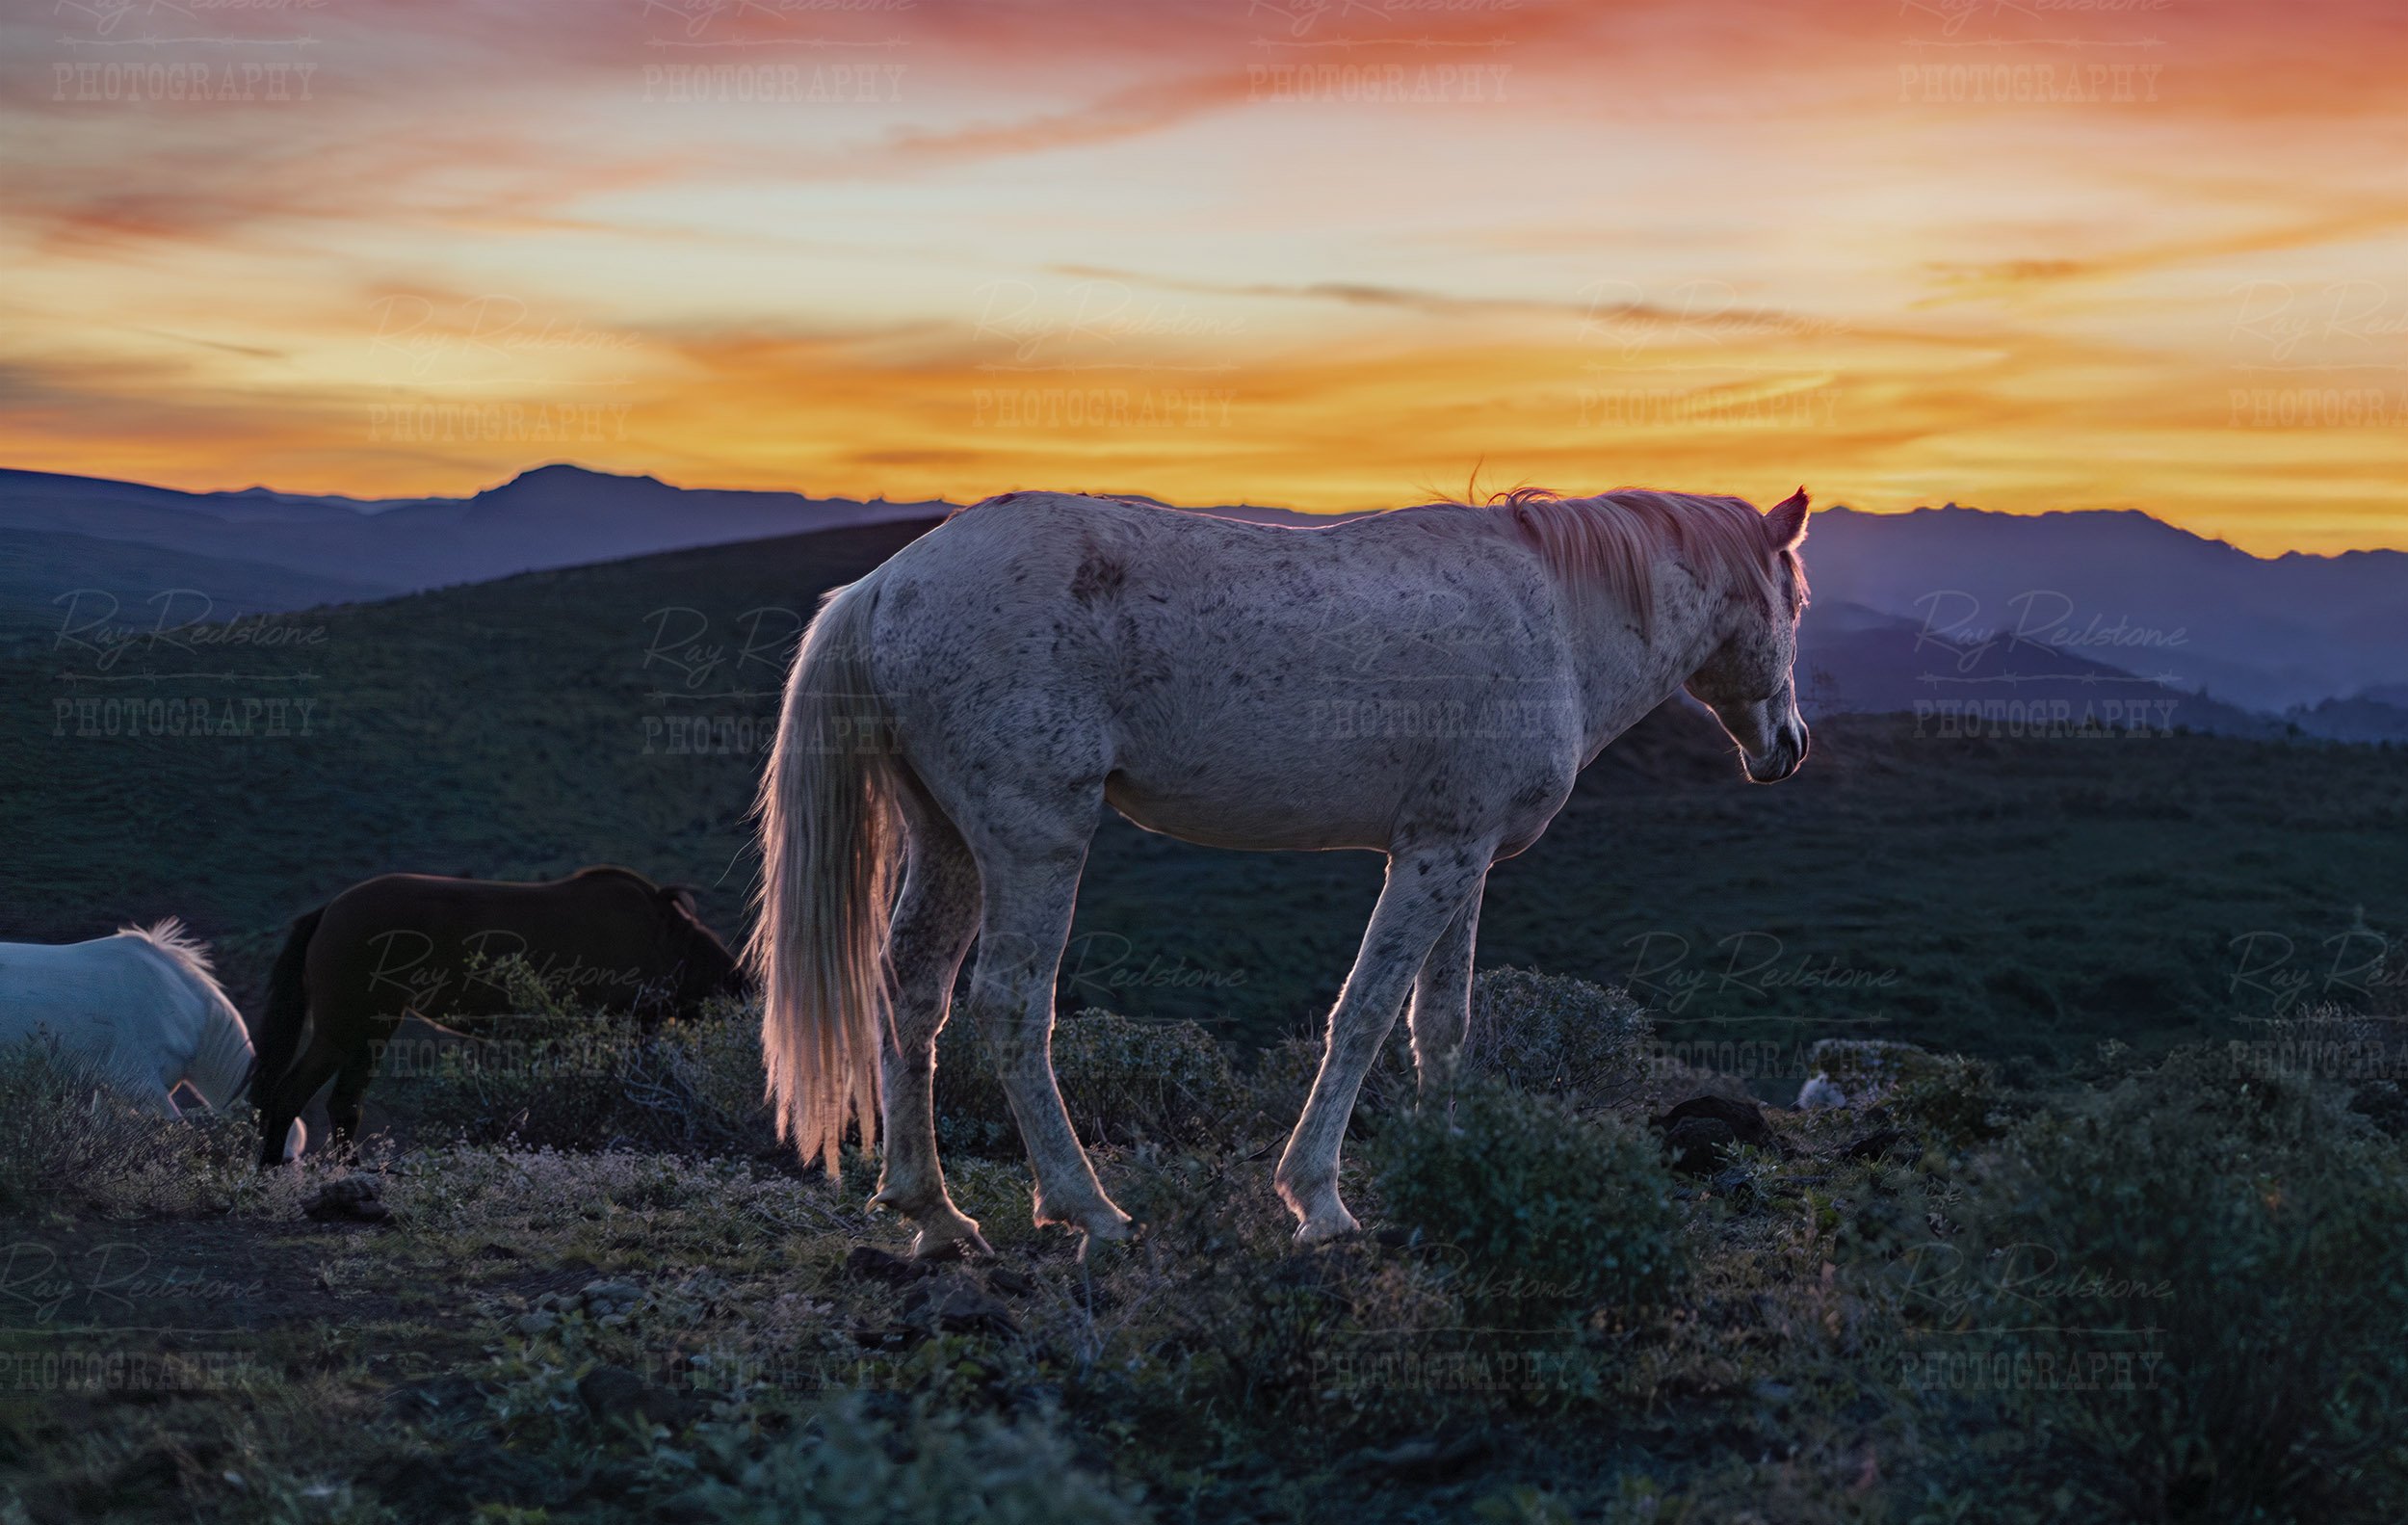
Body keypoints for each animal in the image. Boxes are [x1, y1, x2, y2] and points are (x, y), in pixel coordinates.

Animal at [249, 866, 747, 1166]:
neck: (663, 939)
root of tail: (328, 912)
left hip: (361, 1034)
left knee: (335, 1103)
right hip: (349, 1031)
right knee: (299, 1096)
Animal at [752, 483, 1812, 1254]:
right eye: (1796, 602)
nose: (1790, 746)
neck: (1552, 614)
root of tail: (883, 588)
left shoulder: (1465, 855)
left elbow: (1443, 1023)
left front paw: (1453, 1162)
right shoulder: (1431, 854)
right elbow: (1367, 1014)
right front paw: (1318, 1202)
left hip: (946, 838)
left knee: (912, 990)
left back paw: (932, 1212)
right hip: (1033, 839)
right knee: (1010, 1004)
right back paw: (1089, 1209)